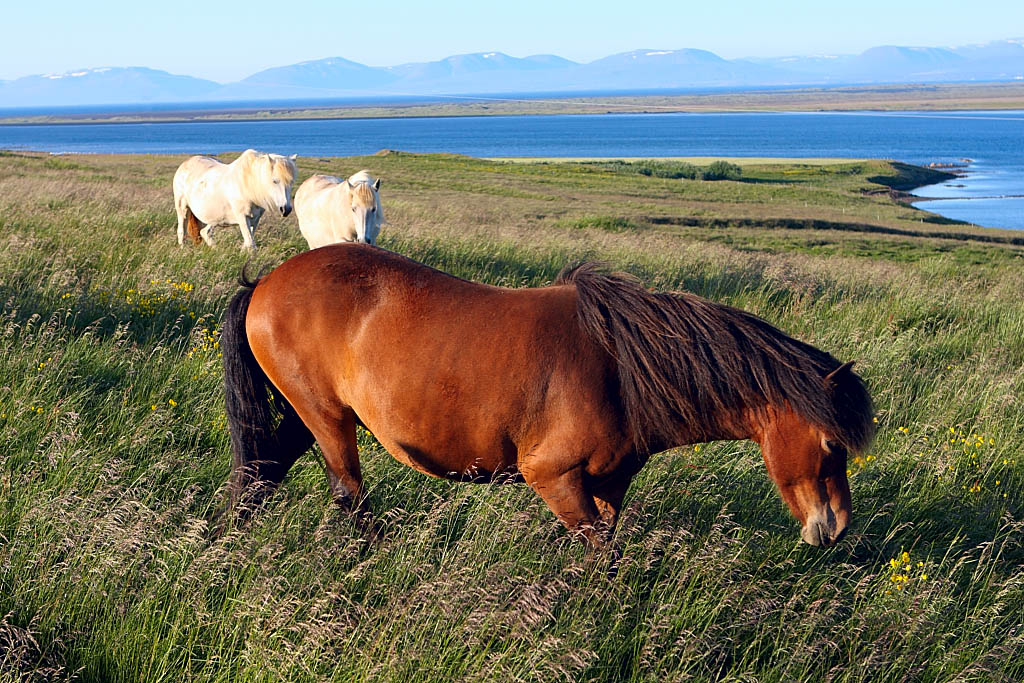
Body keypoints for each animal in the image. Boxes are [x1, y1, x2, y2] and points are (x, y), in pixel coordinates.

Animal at [222, 242, 872, 548]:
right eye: (829, 445)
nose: (835, 528)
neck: (621, 369)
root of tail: (265, 282)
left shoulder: (606, 486)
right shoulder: (553, 477)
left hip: (309, 418)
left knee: (261, 473)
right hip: (328, 420)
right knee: (347, 497)